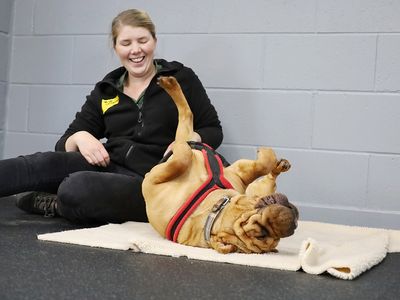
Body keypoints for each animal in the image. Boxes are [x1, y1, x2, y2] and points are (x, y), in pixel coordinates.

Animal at [142, 75, 298, 253]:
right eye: (261, 233)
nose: (292, 224)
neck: (212, 211)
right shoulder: (239, 174)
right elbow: (264, 163)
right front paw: (265, 152)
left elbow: (183, 155)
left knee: (186, 115)